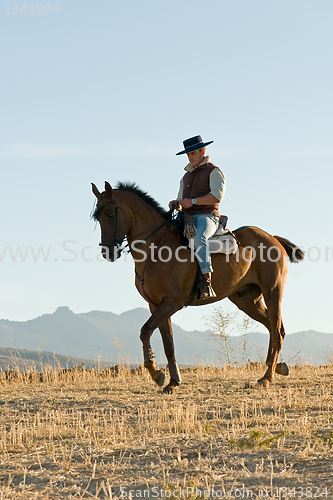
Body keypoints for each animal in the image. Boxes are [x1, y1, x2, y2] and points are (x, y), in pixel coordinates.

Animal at [91, 182, 304, 392]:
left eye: (110, 214)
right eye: (97, 216)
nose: (108, 252)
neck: (156, 248)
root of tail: (272, 238)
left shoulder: (171, 303)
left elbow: (145, 331)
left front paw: (157, 374)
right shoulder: (156, 305)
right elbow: (168, 342)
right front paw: (173, 381)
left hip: (272, 293)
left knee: (276, 330)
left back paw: (267, 377)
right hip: (247, 301)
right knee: (274, 328)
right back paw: (276, 367)